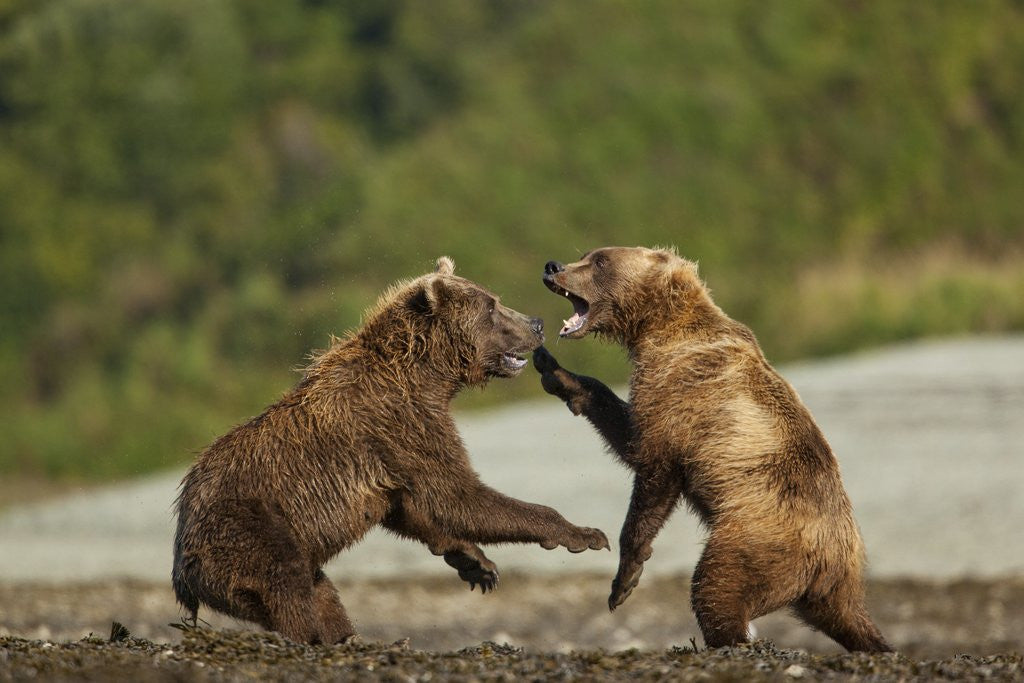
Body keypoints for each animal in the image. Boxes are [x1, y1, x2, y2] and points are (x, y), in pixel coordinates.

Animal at [173, 257, 609, 645]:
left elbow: (413, 507)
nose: (536, 324)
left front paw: (476, 563)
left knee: (321, 594)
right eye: (491, 306)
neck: (428, 376)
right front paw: (582, 533)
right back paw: (317, 637)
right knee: (289, 591)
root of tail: (183, 571)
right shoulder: (401, 424)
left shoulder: (397, 449)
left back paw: (346, 636)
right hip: (253, 530)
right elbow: (457, 495)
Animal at [533, 246, 891, 653]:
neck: (656, 327)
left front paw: (625, 579)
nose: (552, 266)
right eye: (587, 254)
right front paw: (555, 373)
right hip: (832, 585)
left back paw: (727, 636)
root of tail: (832, 555)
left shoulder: (679, 394)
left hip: (756, 539)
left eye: (600, 261)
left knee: (715, 588)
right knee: (850, 620)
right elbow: (622, 423)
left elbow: (649, 464)